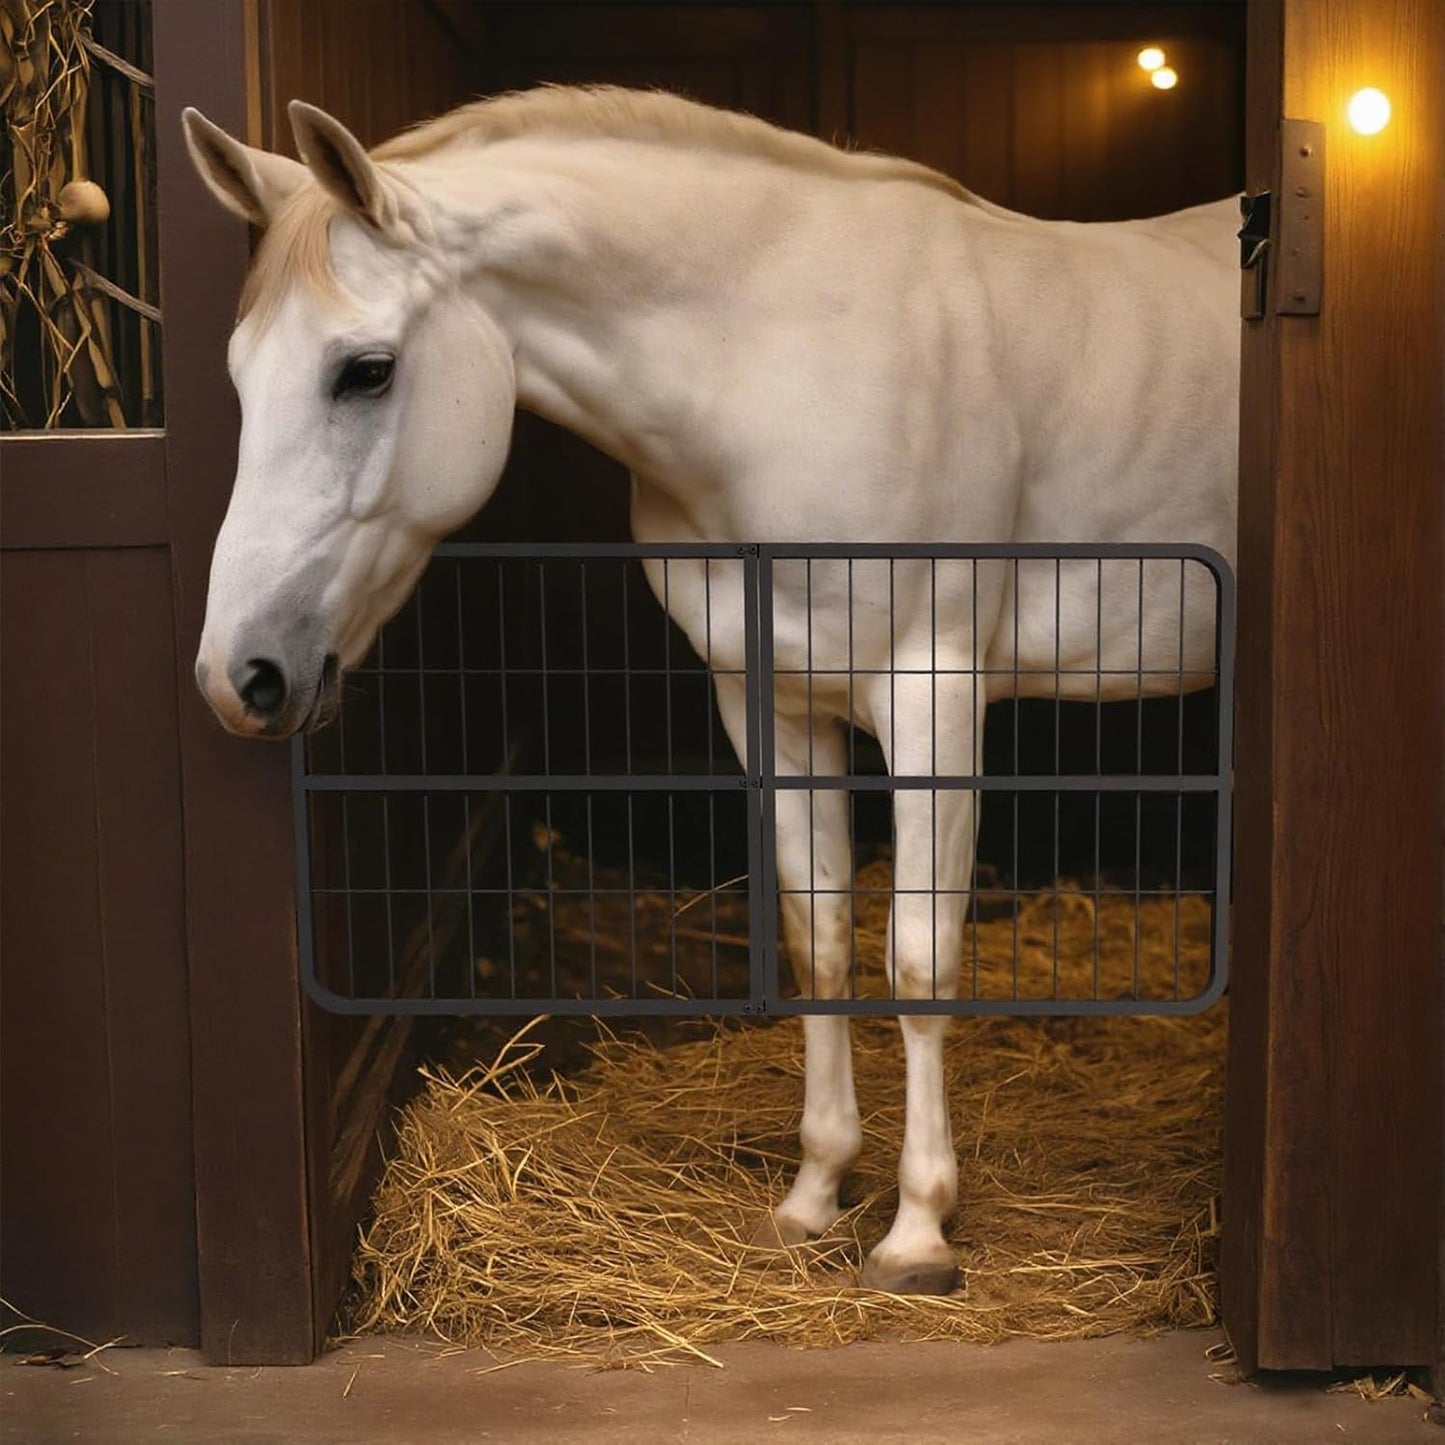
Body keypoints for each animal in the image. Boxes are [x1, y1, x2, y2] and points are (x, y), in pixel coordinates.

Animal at [182, 85, 1239, 1295]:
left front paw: (917, 1232)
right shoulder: (770, 699)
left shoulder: (931, 691)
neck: (781, 358)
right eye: (241, 374)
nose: (239, 674)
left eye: (364, 369)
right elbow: (817, 933)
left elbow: (918, 956)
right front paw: (815, 1193)